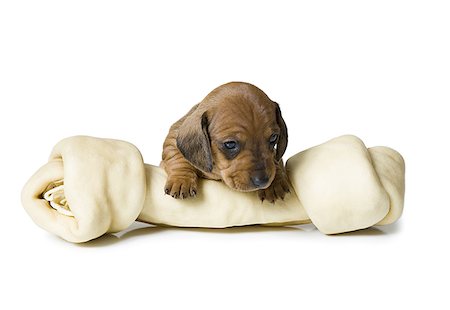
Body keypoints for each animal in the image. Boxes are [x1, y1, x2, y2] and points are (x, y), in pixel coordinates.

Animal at [160, 82, 290, 203]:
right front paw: (181, 180)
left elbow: (275, 161)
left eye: (273, 138)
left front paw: (275, 183)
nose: (263, 181)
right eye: (230, 144)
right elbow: (177, 156)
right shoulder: (173, 138)